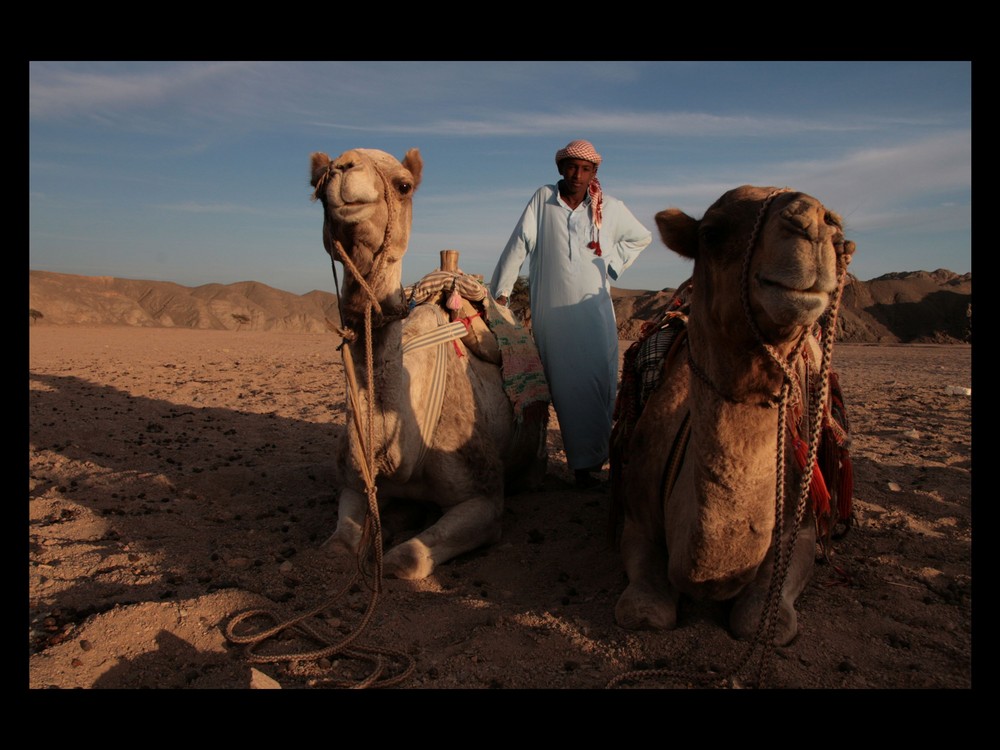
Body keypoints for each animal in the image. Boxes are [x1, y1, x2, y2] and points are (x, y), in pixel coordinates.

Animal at [310, 147, 548, 580]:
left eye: (403, 185)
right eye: (317, 187)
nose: (345, 168)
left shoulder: (484, 500)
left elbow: (404, 559)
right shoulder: (354, 483)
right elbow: (337, 548)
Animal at [612, 187, 856, 648]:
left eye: (836, 235)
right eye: (711, 233)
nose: (814, 222)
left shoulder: (799, 529)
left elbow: (763, 622)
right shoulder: (635, 519)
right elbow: (646, 612)